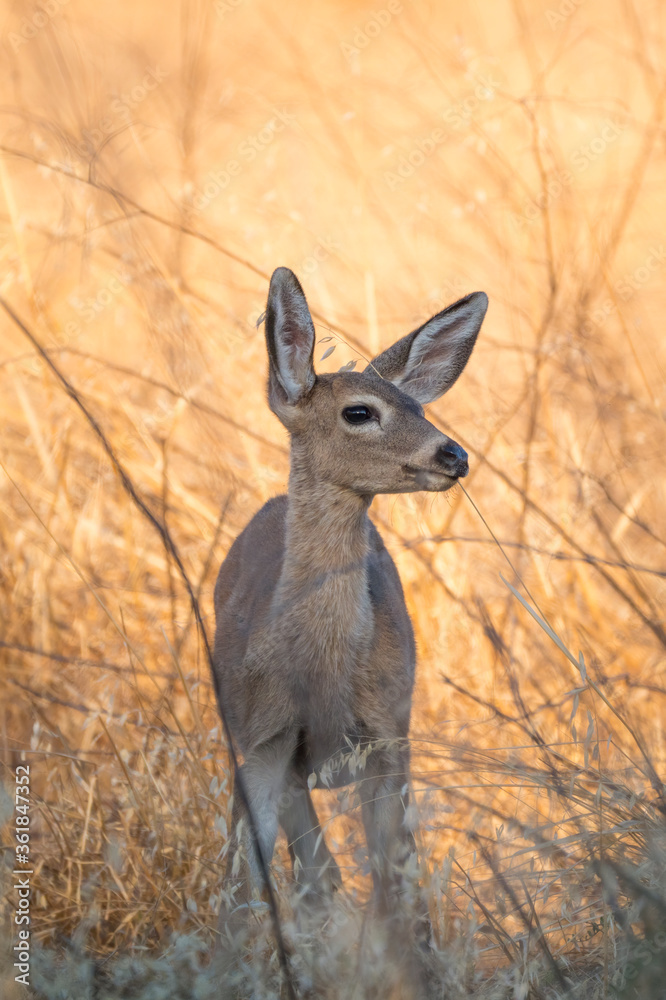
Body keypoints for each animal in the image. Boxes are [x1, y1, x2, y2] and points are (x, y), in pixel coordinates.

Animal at [212, 267, 488, 948]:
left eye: (420, 407)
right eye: (359, 411)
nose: (454, 455)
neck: (324, 672)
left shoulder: (389, 734)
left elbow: (402, 895)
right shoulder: (263, 742)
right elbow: (241, 891)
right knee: (312, 874)